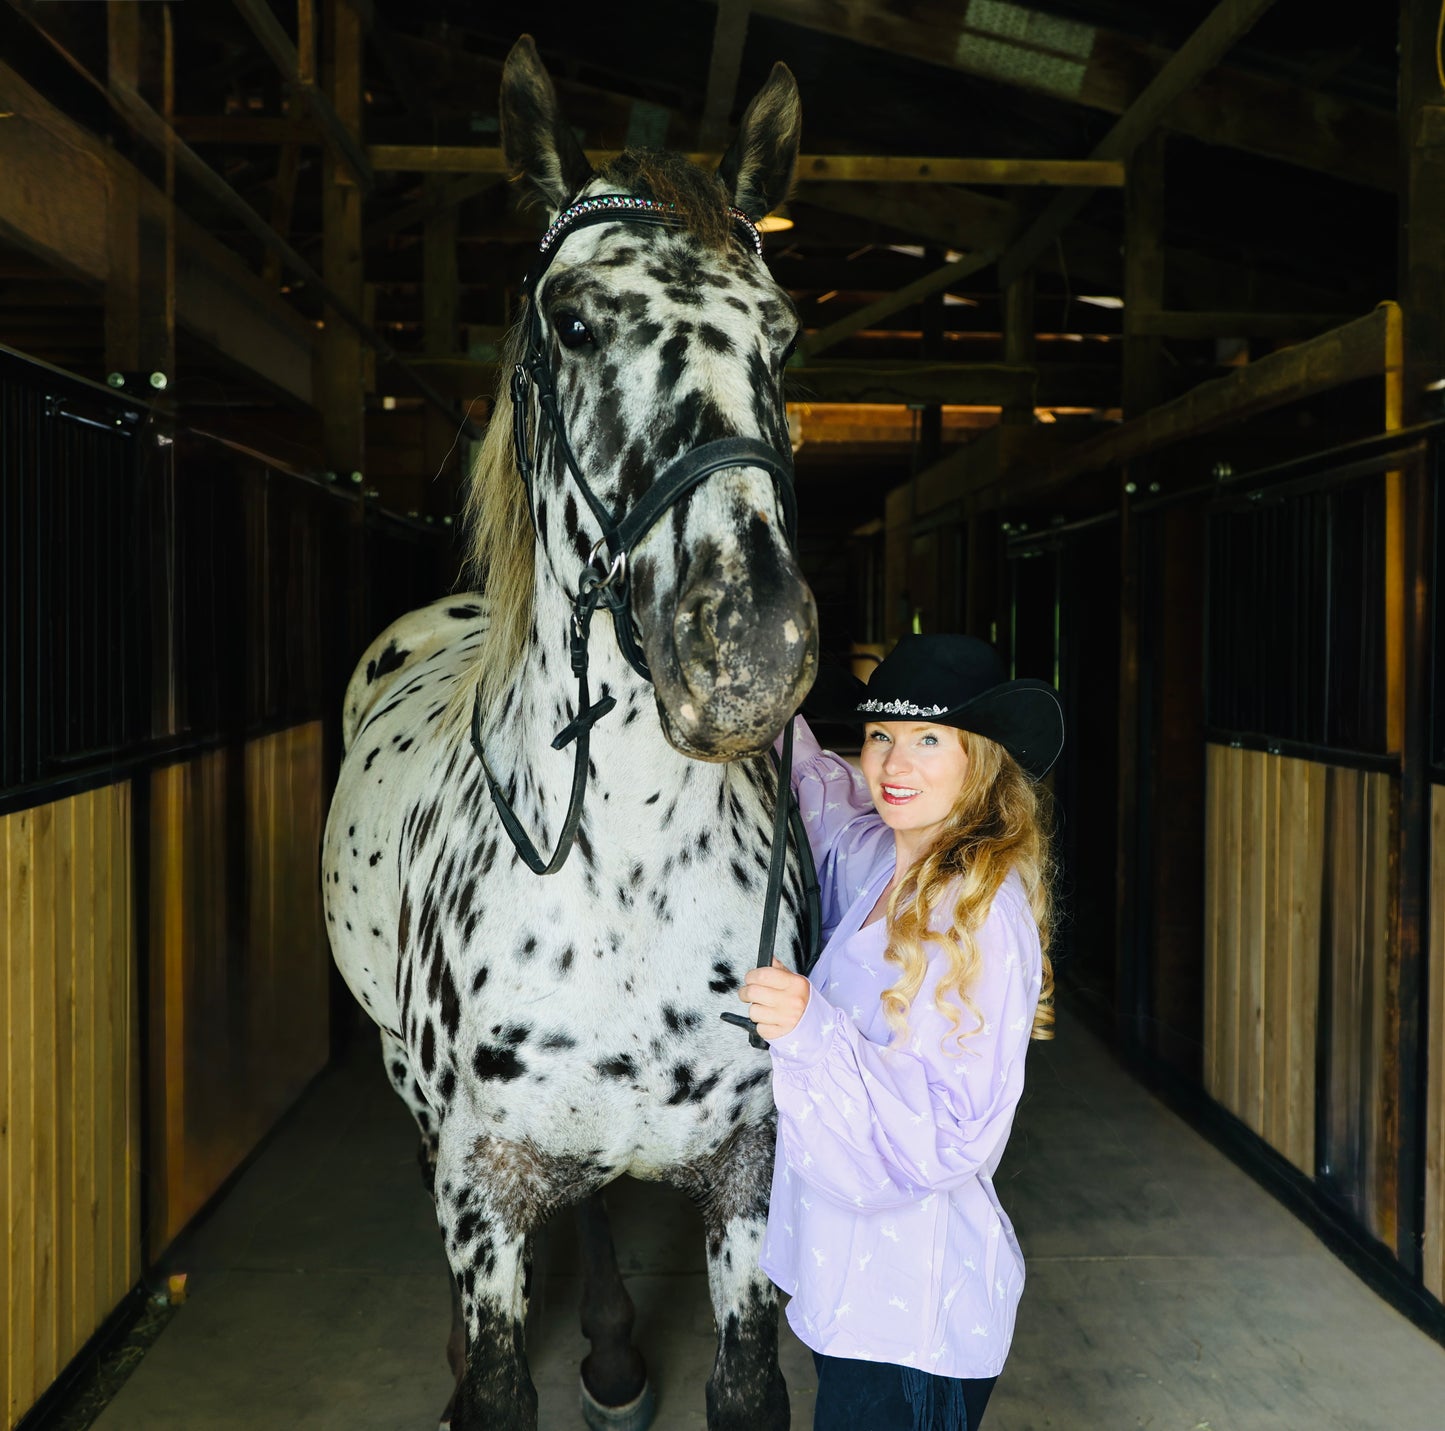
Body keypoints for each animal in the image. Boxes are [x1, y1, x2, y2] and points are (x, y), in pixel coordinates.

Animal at [322, 35, 816, 1431]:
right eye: (574, 320)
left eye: (781, 335)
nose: (747, 648)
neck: (630, 865)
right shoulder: (484, 1186)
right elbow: (495, 1376)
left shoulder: (754, 1175)